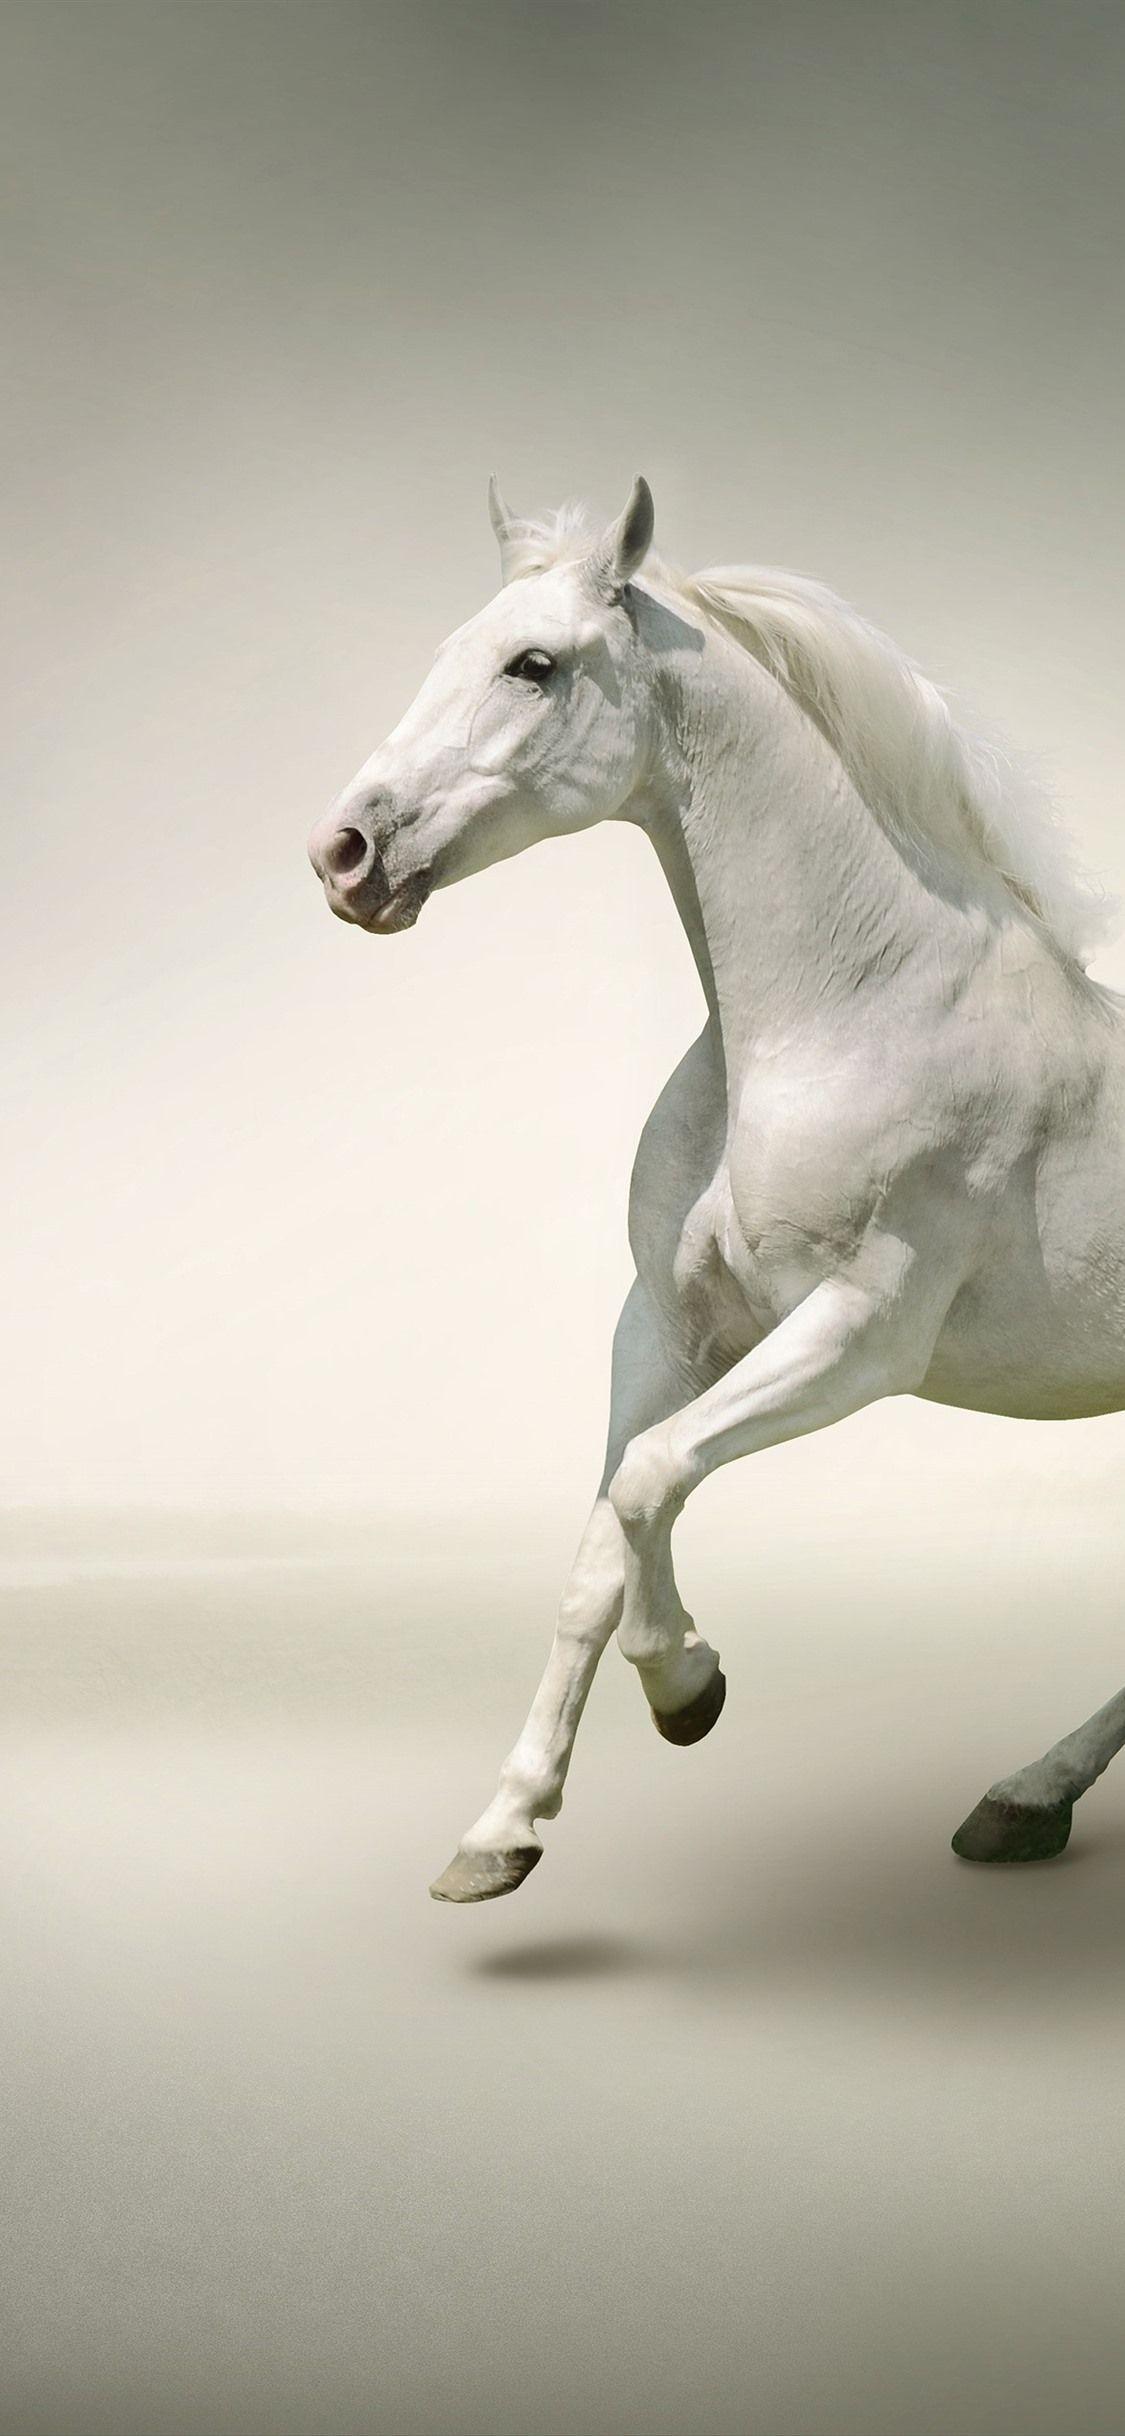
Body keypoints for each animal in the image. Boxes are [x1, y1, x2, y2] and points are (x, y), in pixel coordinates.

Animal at [308, 475, 1125, 1903]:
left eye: (534, 664)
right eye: (451, 650)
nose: (346, 854)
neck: (848, 1009)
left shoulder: (861, 1338)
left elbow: (648, 1483)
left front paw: (689, 1686)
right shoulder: (665, 1325)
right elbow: (600, 1541)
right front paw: (501, 1831)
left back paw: (1025, 1796)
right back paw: (1023, 1801)